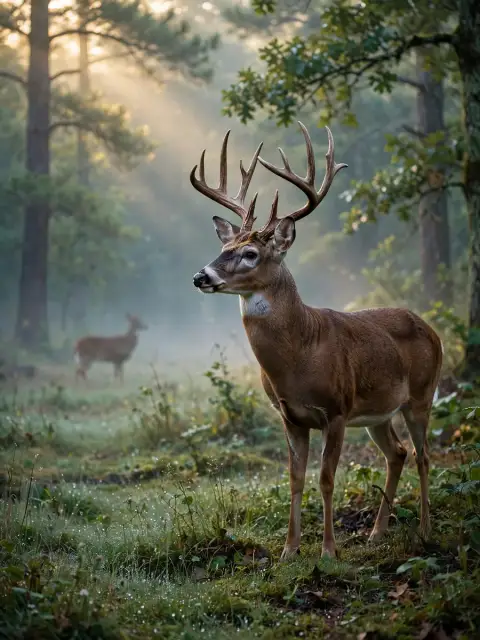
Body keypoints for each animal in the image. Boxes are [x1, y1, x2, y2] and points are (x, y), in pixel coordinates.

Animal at [190, 122, 443, 560]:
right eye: (224, 247)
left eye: (251, 253)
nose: (201, 276)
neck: (299, 355)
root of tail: (430, 328)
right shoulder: (290, 415)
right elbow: (294, 479)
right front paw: (289, 551)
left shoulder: (336, 410)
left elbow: (326, 479)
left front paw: (328, 551)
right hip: (379, 410)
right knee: (397, 453)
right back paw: (377, 533)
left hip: (421, 394)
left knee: (424, 455)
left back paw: (425, 529)